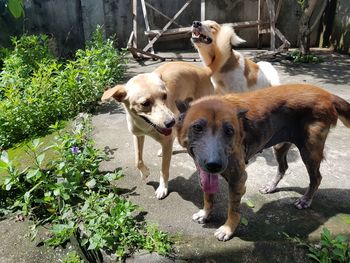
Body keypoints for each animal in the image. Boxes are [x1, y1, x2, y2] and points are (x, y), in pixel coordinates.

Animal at [100, 62, 212, 200]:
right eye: (145, 103)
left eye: (165, 96)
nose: (171, 122)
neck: (146, 126)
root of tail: (204, 70)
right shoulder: (138, 136)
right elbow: (137, 160)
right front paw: (144, 172)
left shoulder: (166, 139)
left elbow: (164, 169)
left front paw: (163, 188)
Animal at [176, 84, 350, 241]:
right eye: (197, 127)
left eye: (229, 131)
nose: (214, 165)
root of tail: (327, 94)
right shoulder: (203, 171)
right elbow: (208, 195)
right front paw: (205, 213)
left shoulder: (238, 178)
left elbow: (233, 208)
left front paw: (228, 229)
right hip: (280, 146)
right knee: (283, 167)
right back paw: (271, 186)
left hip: (310, 151)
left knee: (316, 178)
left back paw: (305, 200)